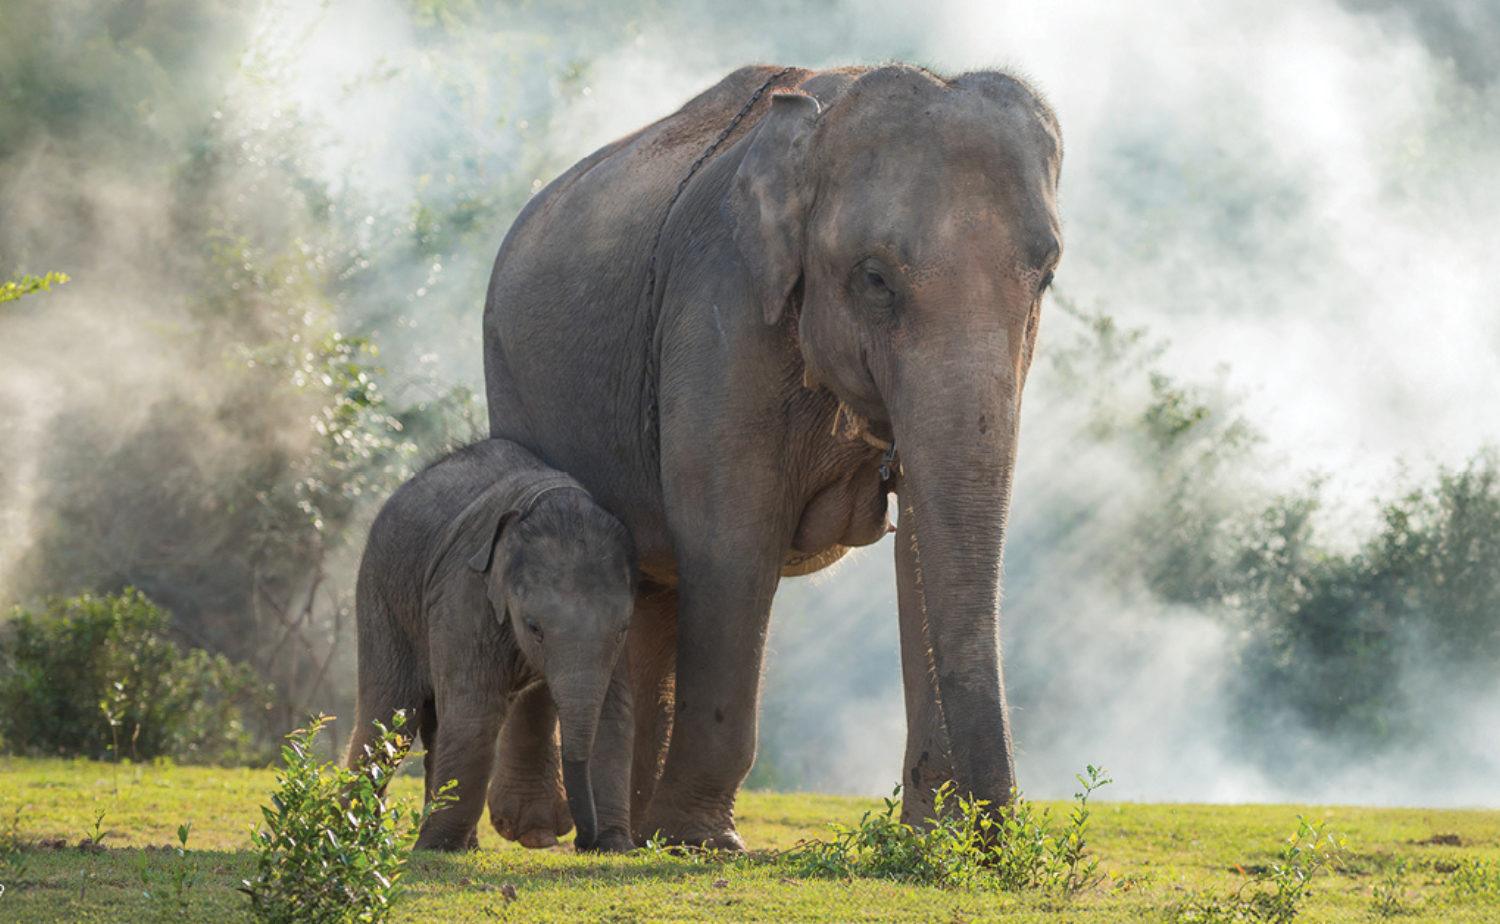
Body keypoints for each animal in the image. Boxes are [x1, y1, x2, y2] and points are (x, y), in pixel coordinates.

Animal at [344, 438, 638, 853]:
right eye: (534, 628)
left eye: (622, 629)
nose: (582, 840)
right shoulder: (464, 592)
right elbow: (474, 713)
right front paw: (435, 850)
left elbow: (615, 714)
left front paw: (615, 847)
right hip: (380, 596)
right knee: (389, 716)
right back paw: (346, 836)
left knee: (431, 723)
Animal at [481, 63, 1062, 849]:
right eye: (875, 278)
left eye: (1047, 277)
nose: (996, 841)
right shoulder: (718, 313)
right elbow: (732, 538)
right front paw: (703, 843)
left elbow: (921, 541)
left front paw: (931, 840)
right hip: (508, 374)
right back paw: (545, 829)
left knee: (654, 594)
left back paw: (627, 834)